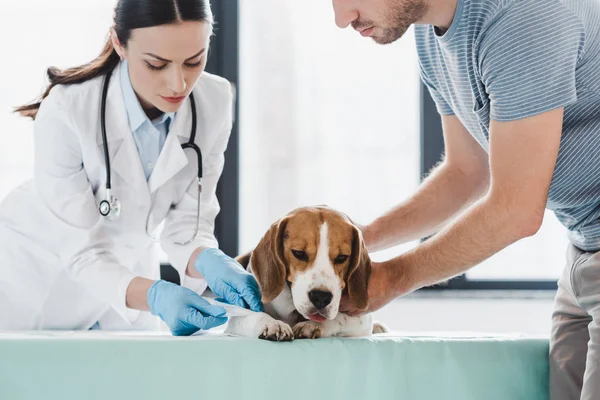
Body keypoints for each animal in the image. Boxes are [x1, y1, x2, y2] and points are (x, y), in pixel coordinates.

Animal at [223, 206, 386, 340]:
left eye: (342, 257)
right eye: (299, 253)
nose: (321, 297)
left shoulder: (362, 321)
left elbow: (338, 318)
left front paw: (311, 325)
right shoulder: (237, 317)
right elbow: (254, 315)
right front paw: (273, 323)